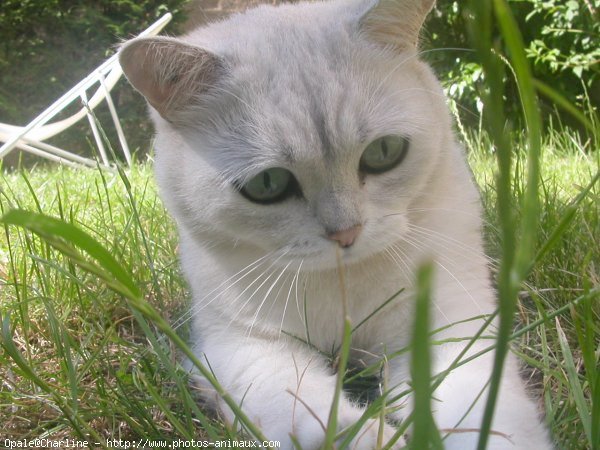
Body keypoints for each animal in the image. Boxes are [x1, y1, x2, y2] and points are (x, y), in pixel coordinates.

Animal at [118, 0, 552, 448]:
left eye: (384, 151)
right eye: (267, 184)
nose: (346, 234)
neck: (343, 288)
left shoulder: (452, 325)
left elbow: (486, 414)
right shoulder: (239, 346)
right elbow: (316, 416)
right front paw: (369, 436)